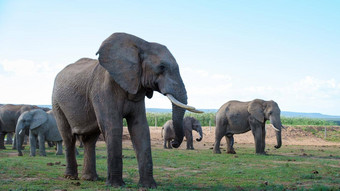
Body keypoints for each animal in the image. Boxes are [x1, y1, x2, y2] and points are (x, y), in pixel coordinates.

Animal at [52, 32, 202, 188]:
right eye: (161, 67)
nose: (174, 144)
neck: (141, 45)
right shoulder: (103, 89)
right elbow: (113, 126)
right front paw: (116, 185)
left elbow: (140, 128)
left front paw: (148, 186)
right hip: (57, 103)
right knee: (68, 137)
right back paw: (71, 177)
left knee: (90, 139)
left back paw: (90, 179)